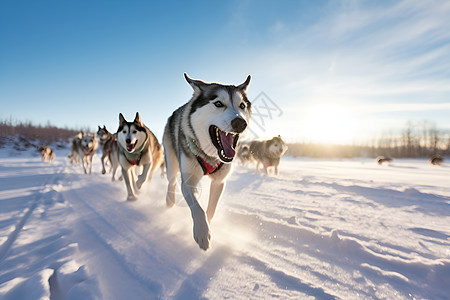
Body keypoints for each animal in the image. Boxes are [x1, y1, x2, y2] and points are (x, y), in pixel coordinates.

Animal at [163, 73, 253, 251]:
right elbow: (198, 209)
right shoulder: (188, 182)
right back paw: (170, 201)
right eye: (218, 103)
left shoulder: (219, 182)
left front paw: (209, 226)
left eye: (242, 105)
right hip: (171, 162)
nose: (240, 123)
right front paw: (202, 233)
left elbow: (210, 210)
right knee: (172, 181)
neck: (210, 155)